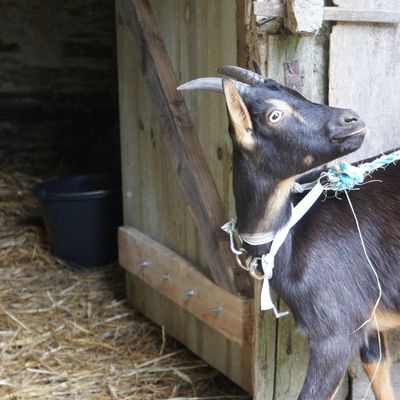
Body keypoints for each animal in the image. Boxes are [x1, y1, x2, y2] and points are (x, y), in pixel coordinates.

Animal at [180, 67, 400, 398]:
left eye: (298, 94)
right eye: (275, 115)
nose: (352, 119)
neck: (288, 236)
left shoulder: (336, 329)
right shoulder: (370, 325)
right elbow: (380, 378)